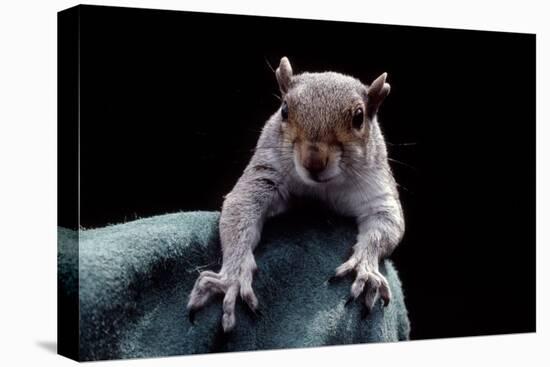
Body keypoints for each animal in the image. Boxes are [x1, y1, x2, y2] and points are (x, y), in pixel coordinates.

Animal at [188, 56, 408, 334]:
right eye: (284, 110)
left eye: (359, 117)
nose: (313, 161)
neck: (322, 188)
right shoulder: (264, 174)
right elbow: (241, 208)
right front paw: (232, 277)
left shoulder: (377, 188)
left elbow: (386, 224)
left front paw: (365, 267)